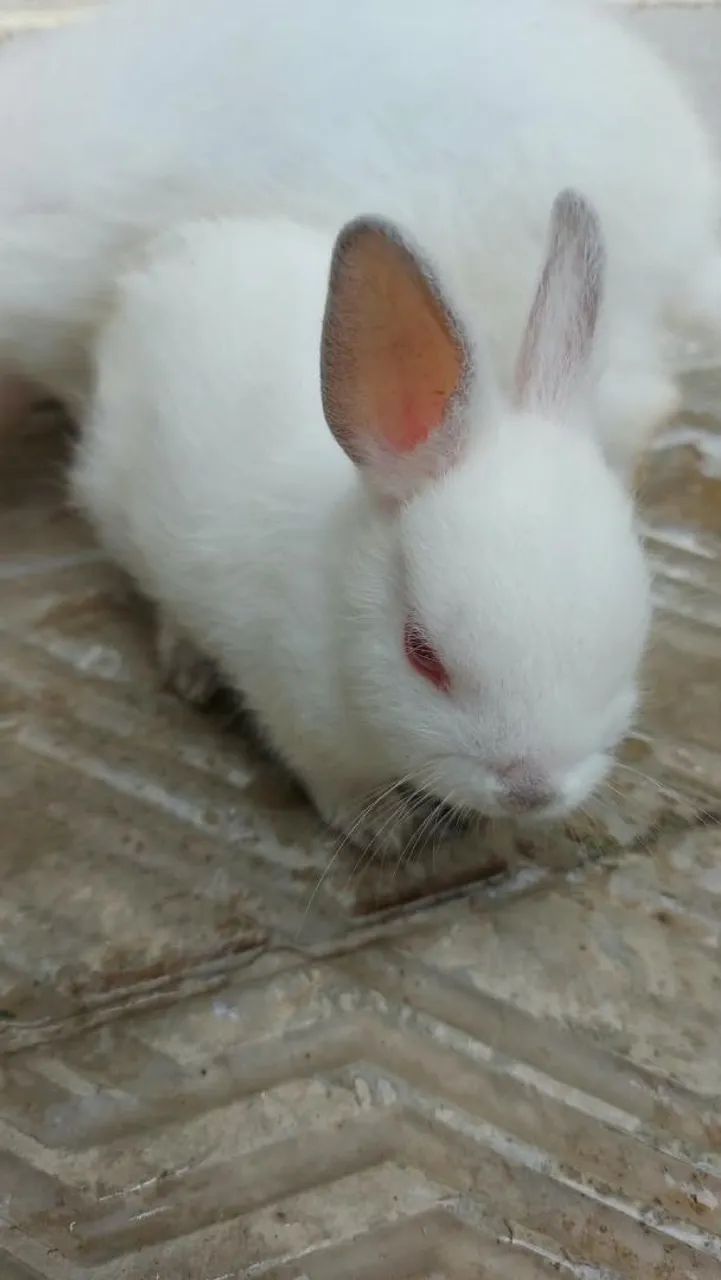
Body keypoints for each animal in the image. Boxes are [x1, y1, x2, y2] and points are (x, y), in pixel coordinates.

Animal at [72, 191, 651, 853]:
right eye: (421, 654)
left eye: (630, 642)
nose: (531, 790)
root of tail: (169, 254)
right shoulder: (290, 704)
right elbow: (332, 776)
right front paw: (381, 829)